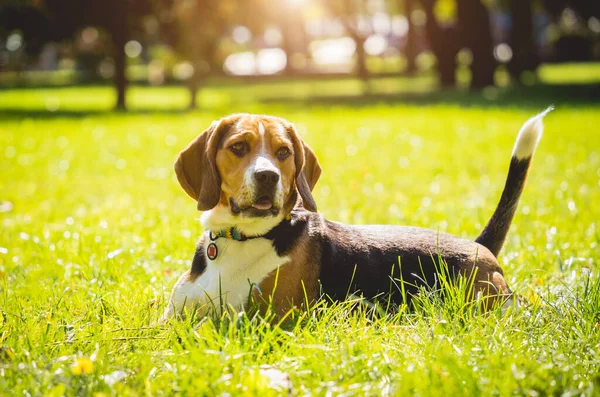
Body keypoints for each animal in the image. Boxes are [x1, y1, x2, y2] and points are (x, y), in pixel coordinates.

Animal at [162, 109, 552, 318]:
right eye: (238, 147)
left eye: (283, 152)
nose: (268, 176)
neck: (239, 238)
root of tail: (478, 246)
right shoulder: (172, 320)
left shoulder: (267, 317)